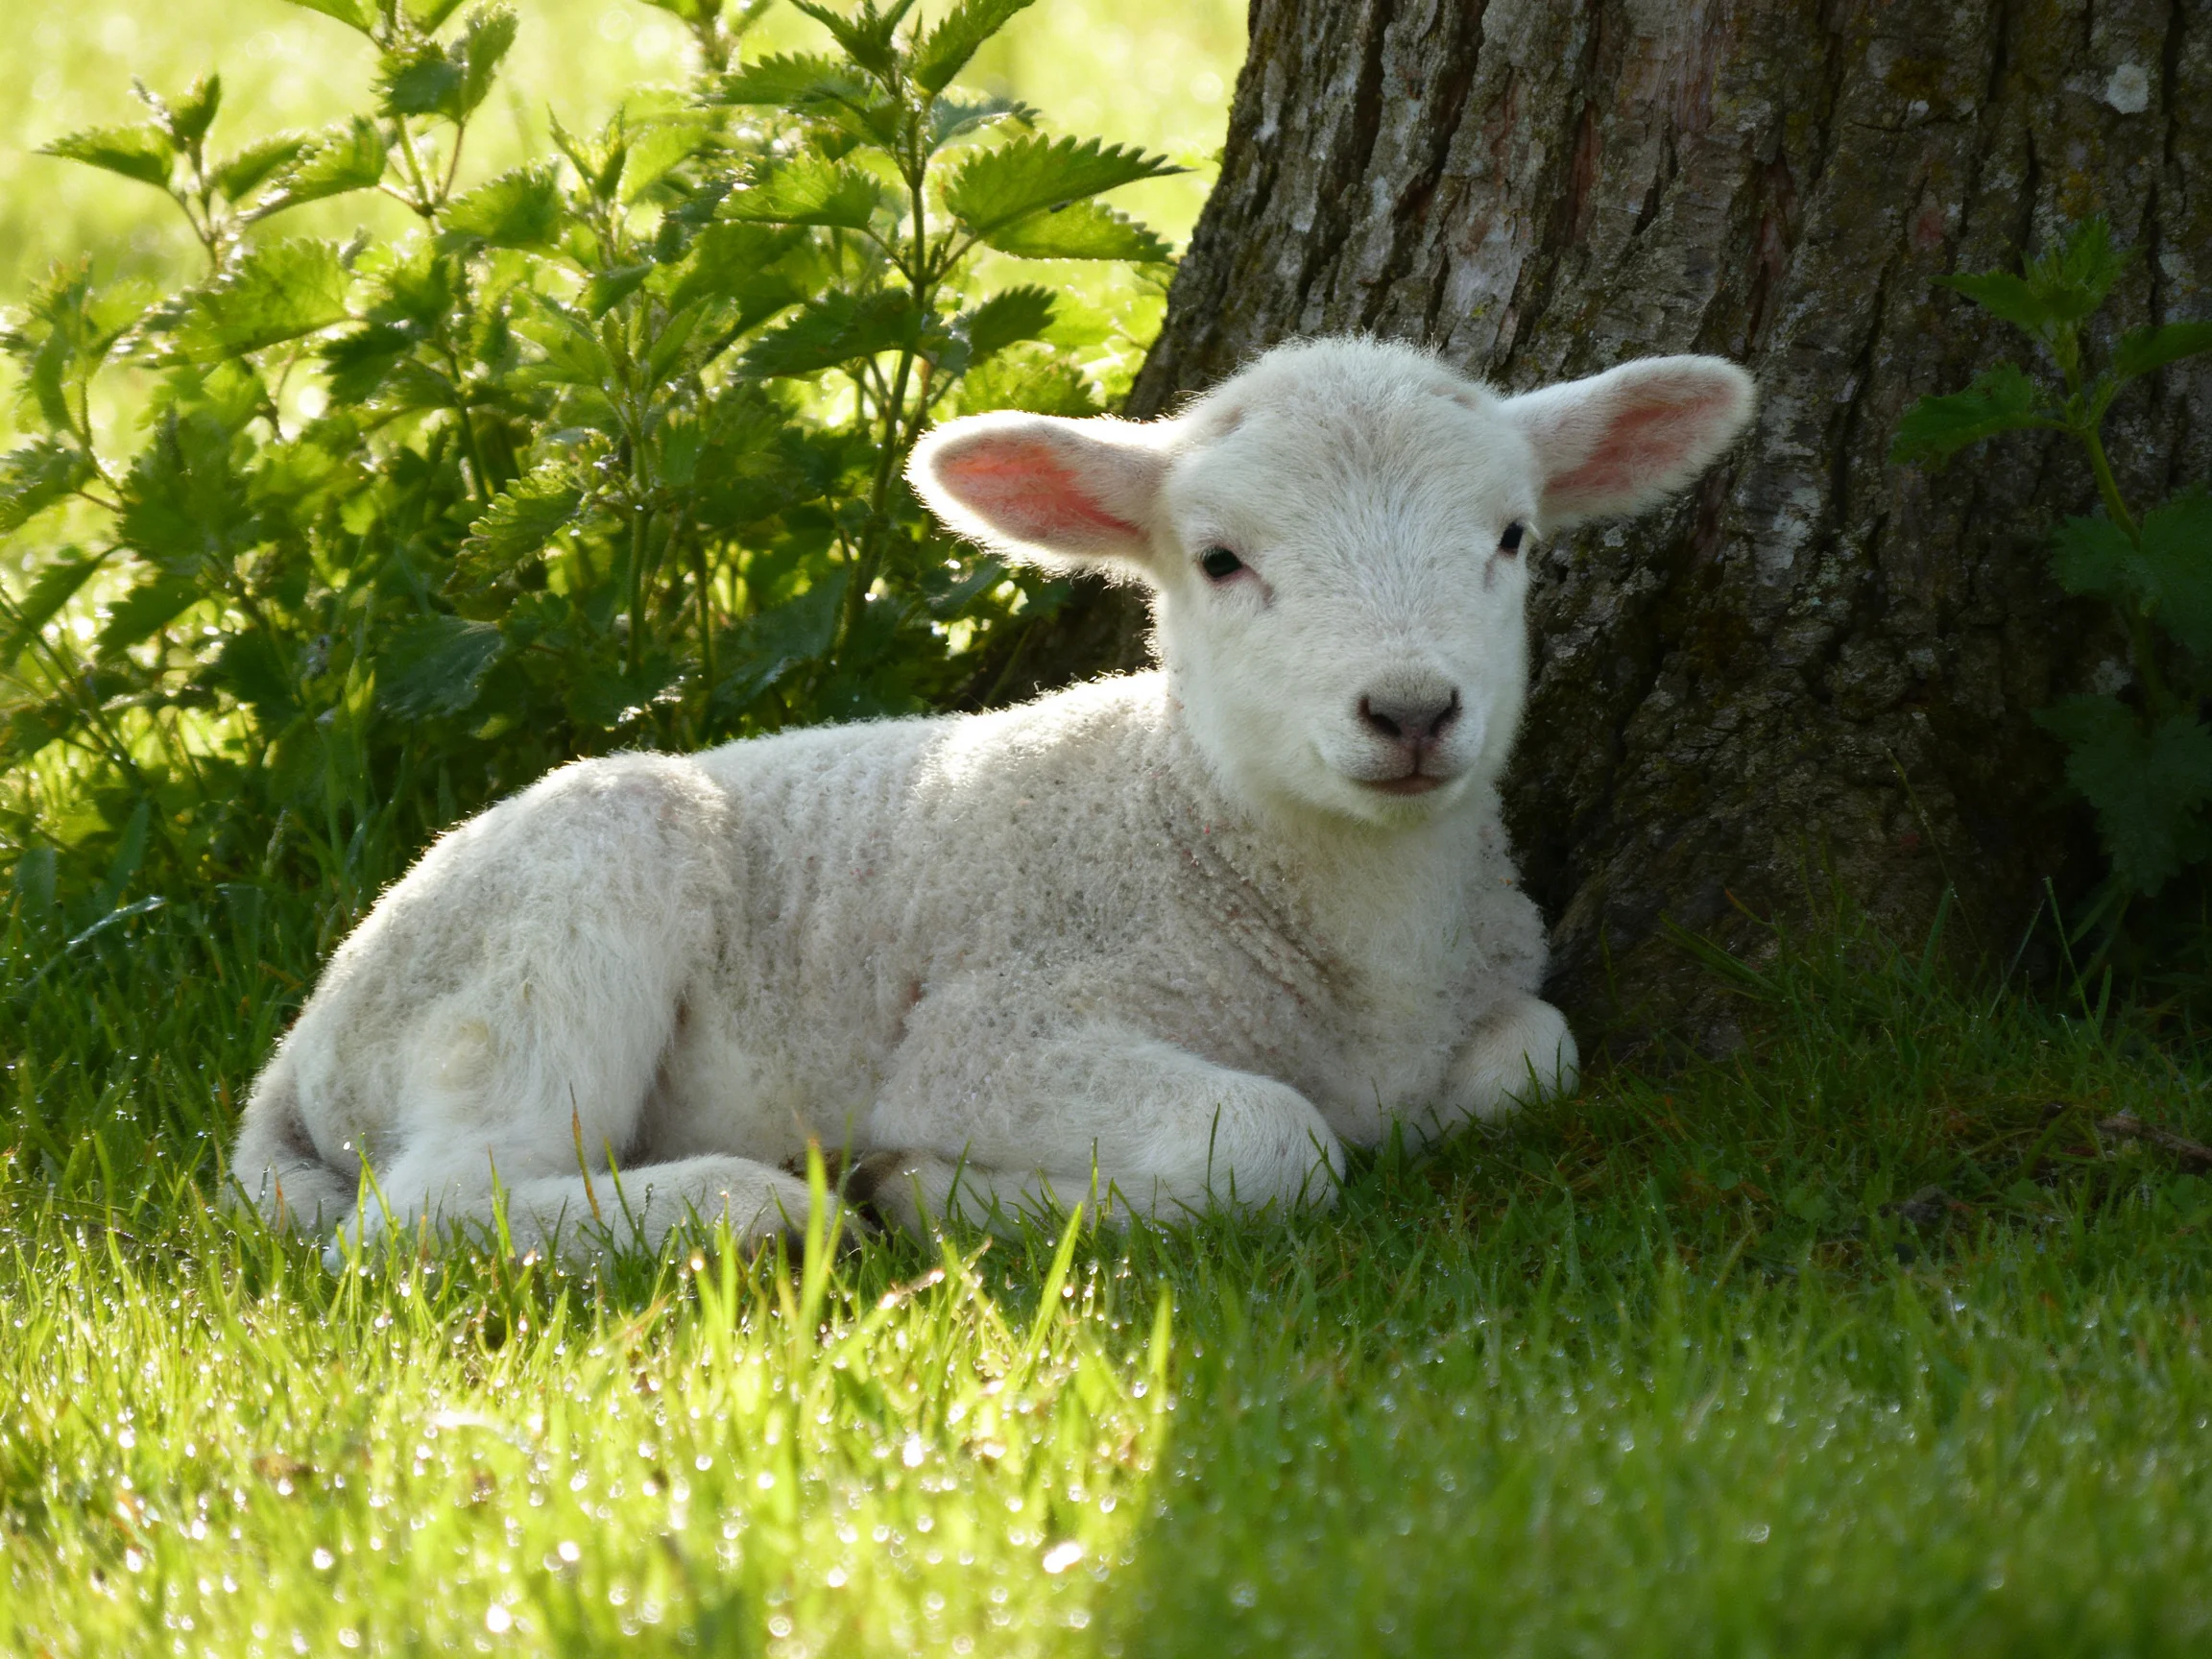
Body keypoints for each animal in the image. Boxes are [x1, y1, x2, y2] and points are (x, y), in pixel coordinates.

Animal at [228, 336, 1755, 1262]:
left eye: (1512, 539)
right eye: (1219, 561)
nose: (1413, 712)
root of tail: (295, 1059)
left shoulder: (1489, 1003)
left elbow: (1535, 1056)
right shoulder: (992, 1033)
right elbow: (1274, 1140)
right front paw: (945, 1194)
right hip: (552, 918)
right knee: (427, 1208)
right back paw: (754, 1209)